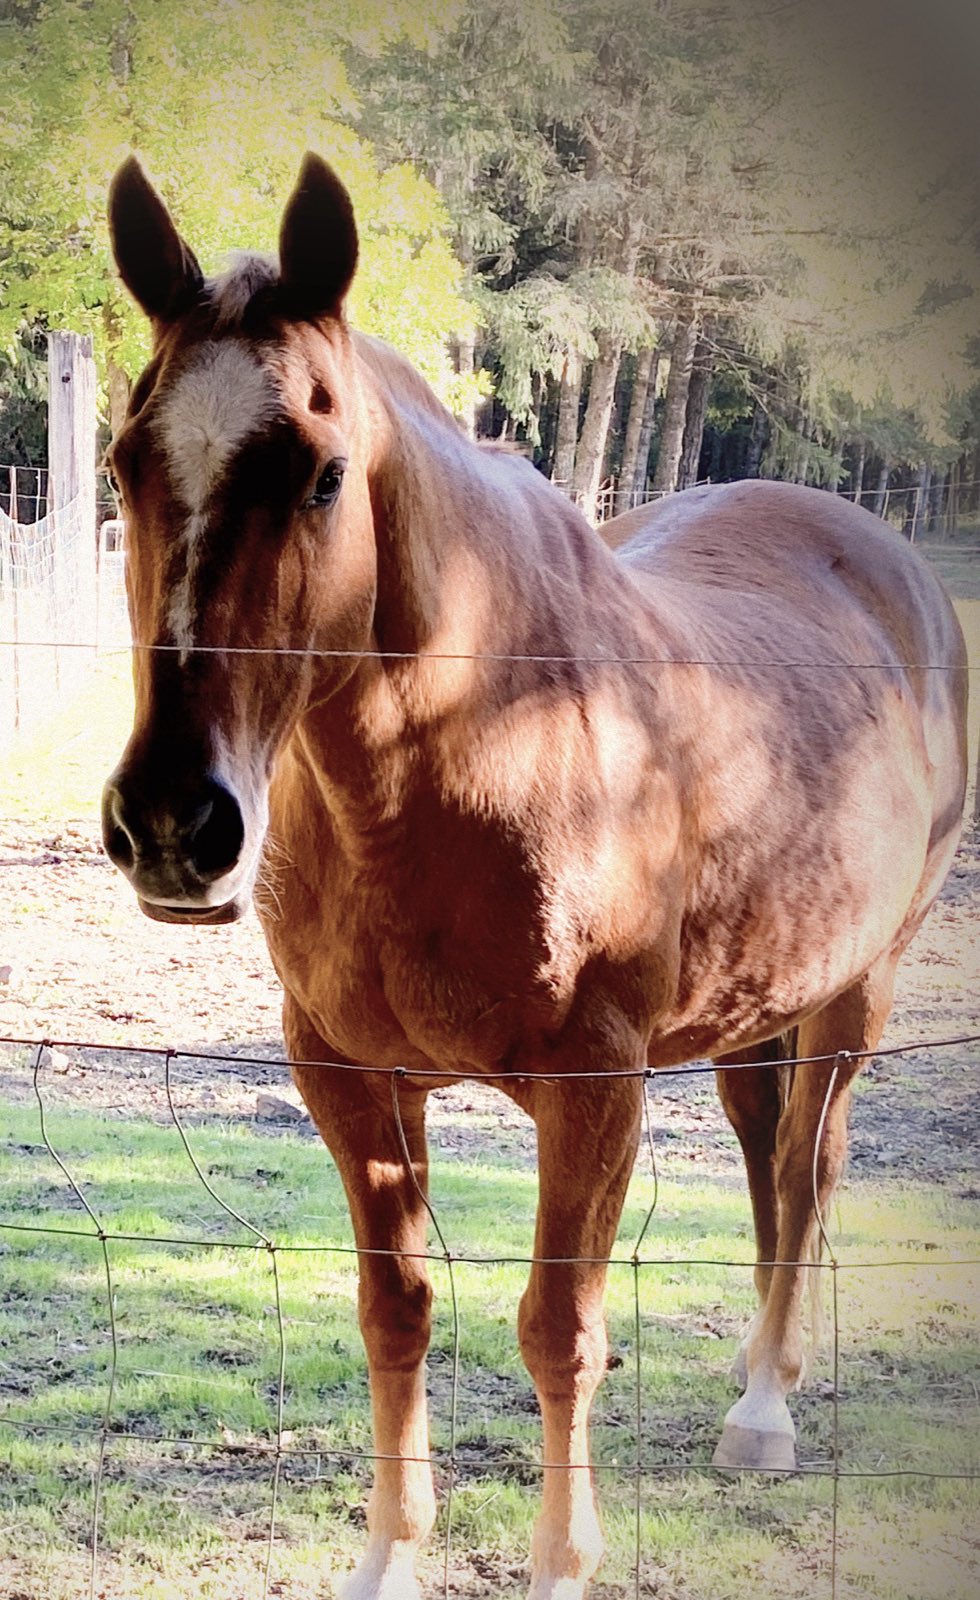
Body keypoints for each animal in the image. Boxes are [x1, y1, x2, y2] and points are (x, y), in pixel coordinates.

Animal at [102, 153, 968, 1600]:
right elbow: (393, 1312)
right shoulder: (348, 1079)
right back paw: (761, 1371)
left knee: (807, 1169)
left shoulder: (593, 1088)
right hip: (752, 1009)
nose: (174, 821)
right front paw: (389, 1556)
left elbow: (560, 1327)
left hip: (860, 988)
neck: (469, 753)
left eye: (323, 476)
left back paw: (764, 1409)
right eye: (124, 464)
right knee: (761, 1152)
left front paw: (563, 1562)